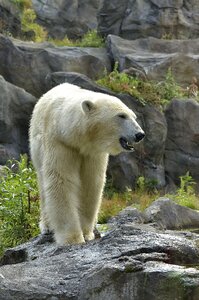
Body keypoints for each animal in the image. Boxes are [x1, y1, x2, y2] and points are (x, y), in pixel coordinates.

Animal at [29, 83, 145, 245]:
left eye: (133, 116)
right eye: (121, 115)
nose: (140, 134)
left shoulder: (93, 153)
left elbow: (91, 183)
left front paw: (87, 233)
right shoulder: (59, 142)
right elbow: (61, 181)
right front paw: (73, 238)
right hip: (37, 148)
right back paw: (47, 226)